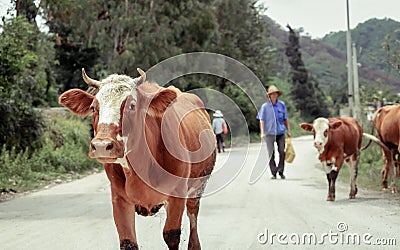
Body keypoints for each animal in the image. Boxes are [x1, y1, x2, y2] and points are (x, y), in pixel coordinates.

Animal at [57, 68, 216, 250]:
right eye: (93, 107)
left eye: (132, 105)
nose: (102, 145)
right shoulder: (119, 199)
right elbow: (128, 242)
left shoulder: (178, 194)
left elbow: (171, 235)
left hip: (197, 187)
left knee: (193, 217)